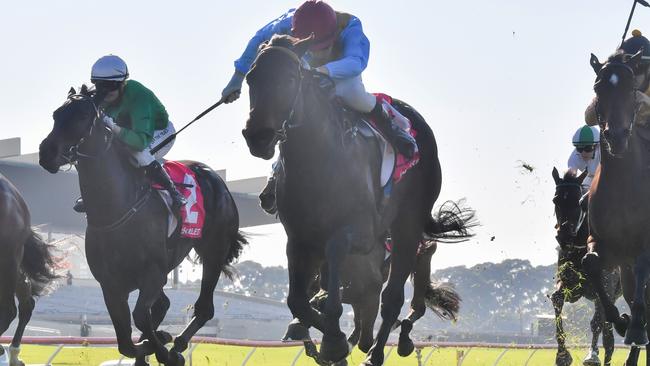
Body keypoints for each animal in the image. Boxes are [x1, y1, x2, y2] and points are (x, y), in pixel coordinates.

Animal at [38, 86, 246, 366]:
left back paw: (177, 344)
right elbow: (125, 339)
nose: (46, 152)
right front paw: (151, 344)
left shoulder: (153, 274)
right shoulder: (111, 285)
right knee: (163, 305)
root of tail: (216, 178)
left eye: (82, 116)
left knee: (203, 308)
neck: (115, 209)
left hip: (213, 251)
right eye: (56, 114)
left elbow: (138, 318)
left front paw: (164, 349)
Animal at [548, 167, 620, 364]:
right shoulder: (571, 287)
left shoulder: (605, 287)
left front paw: (592, 356)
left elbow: (596, 323)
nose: (564, 236)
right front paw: (562, 355)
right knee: (609, 339)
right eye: (555, 200)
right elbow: (557, 299)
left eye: (579, 202)